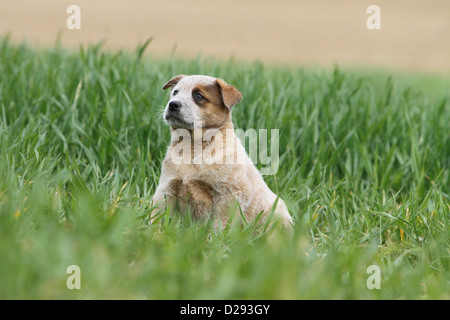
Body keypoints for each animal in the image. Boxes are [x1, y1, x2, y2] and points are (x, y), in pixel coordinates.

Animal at [149, 75, 294, 230]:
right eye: (175, 92)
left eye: (198, 96)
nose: (173, 104)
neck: (193, 147)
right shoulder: (166, 187)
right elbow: (157, 216)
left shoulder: (227, 196)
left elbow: (219, 226)